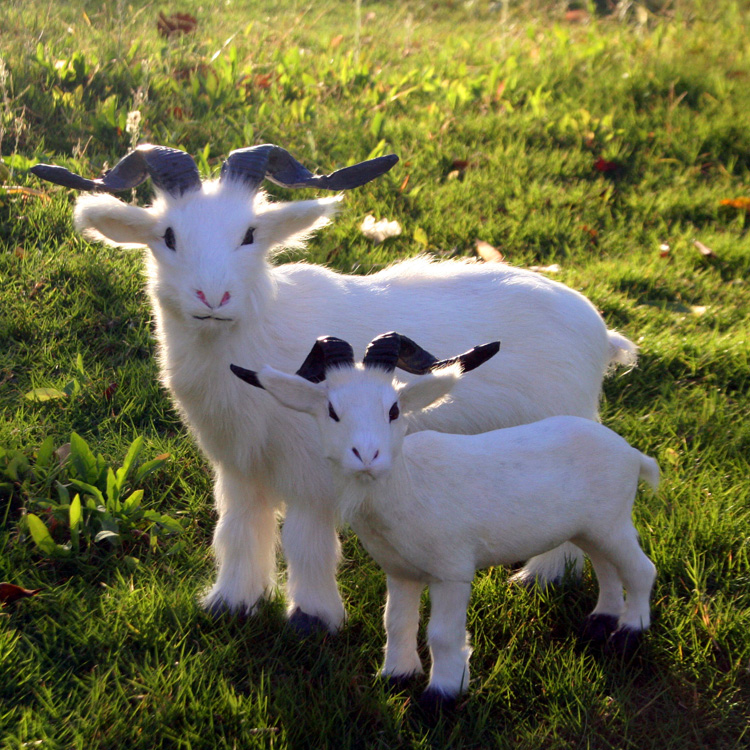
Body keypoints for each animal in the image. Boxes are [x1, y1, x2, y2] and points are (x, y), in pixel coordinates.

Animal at [32, 145, 636, 636]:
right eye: (168, 237)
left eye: (249, 234)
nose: (213, 296)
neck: (258, 334)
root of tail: (598, 331)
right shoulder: (239, 469)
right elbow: (238, 531)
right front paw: (232, 604)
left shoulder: (312, 477)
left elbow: (305, 541)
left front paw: (312, 619)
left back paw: (538, 578)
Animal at [232, 334, 660, 704]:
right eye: (332, 411)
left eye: (393, 410)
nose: (367, 456)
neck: (412, 486)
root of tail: (633, 455)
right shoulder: (400, 571)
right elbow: (396, 621)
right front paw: (397, 677)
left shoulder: (452, 572)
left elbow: (442, 634)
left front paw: (442, 696)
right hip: (592, 529)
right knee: (607, 568)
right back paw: (601, 622)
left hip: (613, 524)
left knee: (641, 570)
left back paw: (628, 633)